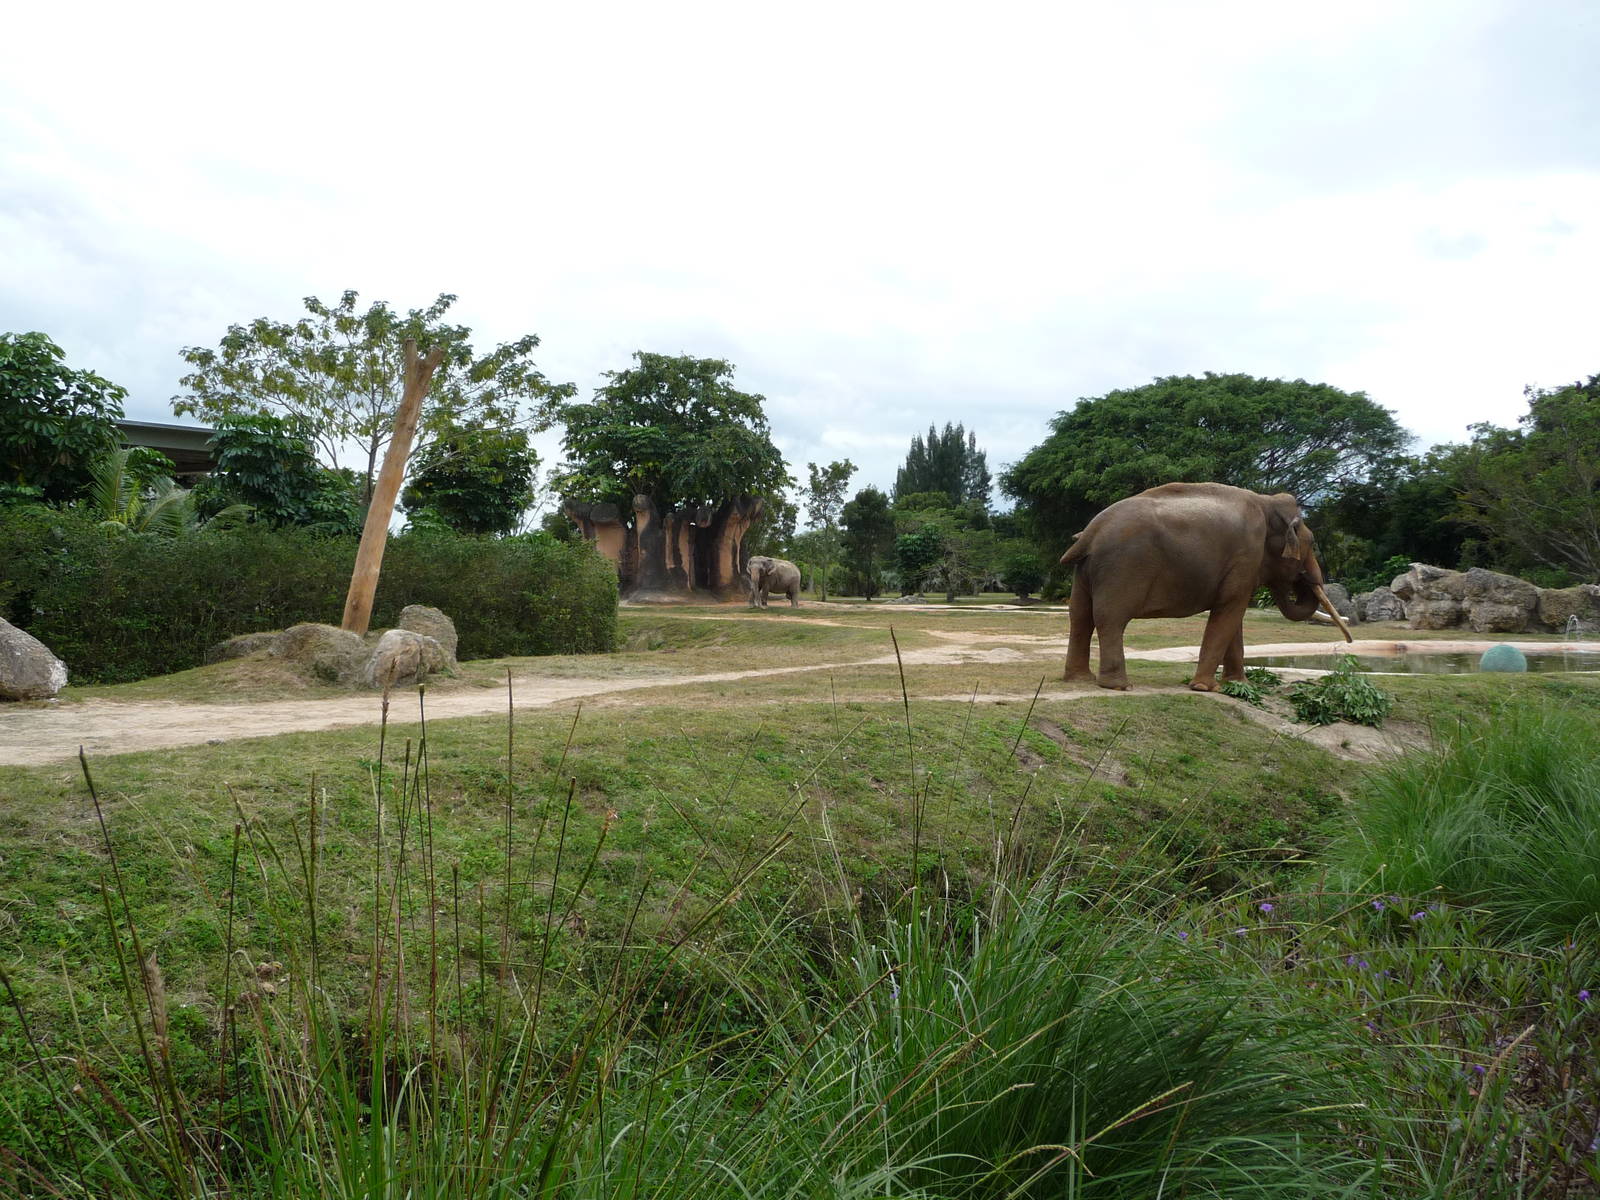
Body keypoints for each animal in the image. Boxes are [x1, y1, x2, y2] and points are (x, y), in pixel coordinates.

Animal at [1059, 483, 1352, 691]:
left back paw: (1080, 680)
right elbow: (1230, 610)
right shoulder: (1246, 555)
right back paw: (1119, 686)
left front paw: (1238, 685)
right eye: (1311, 543)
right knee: (1111, 618)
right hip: (1124, 566)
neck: (1267, 501)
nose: (1349, 641)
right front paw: (1206, 688)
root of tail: (1089, 532)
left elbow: (1233, 618)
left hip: (1086, 569)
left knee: (1080, 616)